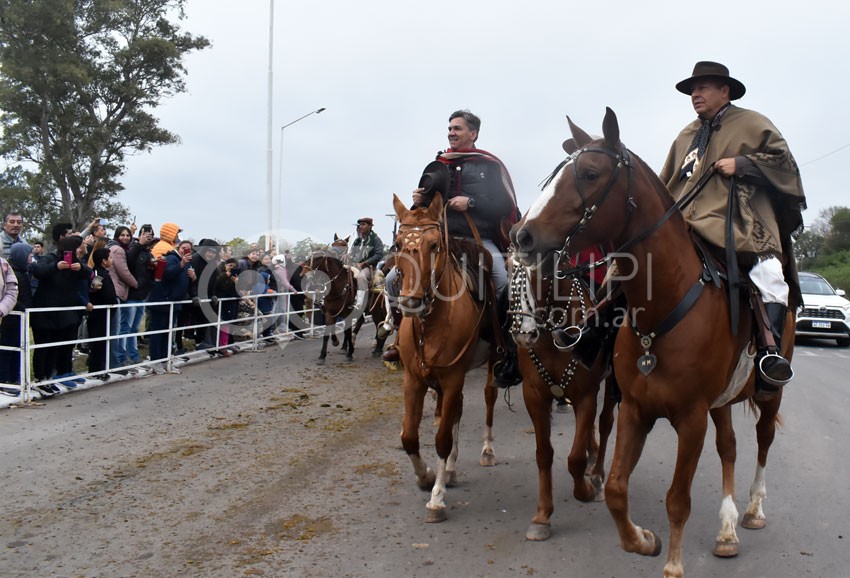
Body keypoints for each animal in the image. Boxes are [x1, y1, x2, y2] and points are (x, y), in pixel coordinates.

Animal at [394, 191, 500, 520]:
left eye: (434, 245)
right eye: (398, 245)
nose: (410, 302)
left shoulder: (452, 379)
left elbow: (441, 438)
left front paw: (437, 497)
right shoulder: (414, 379)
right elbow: (409, 436)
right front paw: (426, 476)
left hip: (492, 362)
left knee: (489, 396)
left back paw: (487, 450)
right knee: (455, 412)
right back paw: (451, 469)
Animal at [504, 253, 616, 540]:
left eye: (541, 272)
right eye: (508, 268)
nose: (523, 333)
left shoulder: (586, 394)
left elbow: (574, 459)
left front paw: (585, 491)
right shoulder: (535, 397)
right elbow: (544, 454)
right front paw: (542, 516)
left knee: (606, 422)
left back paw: (597, 475)